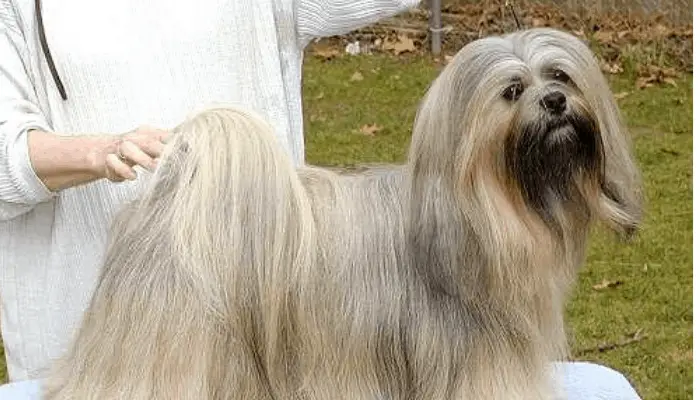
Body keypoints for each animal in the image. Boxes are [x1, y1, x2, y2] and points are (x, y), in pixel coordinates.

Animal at [43, 28, 644, 400]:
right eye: (513, 90)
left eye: (561, 77)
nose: (555, 103)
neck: (492, 210)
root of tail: (171, 194)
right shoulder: (478, 355)